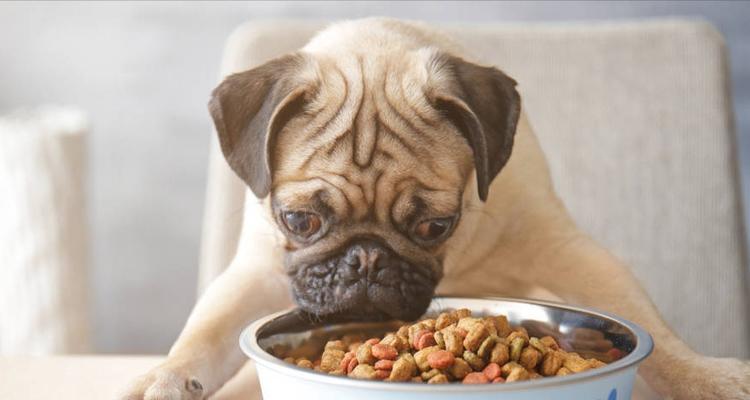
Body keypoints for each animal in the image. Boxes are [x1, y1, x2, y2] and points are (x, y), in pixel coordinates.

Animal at [119, 17, 750, 398]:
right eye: (300, 220)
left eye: (434, 225)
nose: (366, 261)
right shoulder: (258, 271)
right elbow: (204, 333)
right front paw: (165, 377)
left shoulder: (564, 249)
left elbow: (652, 327)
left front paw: (705, 378)